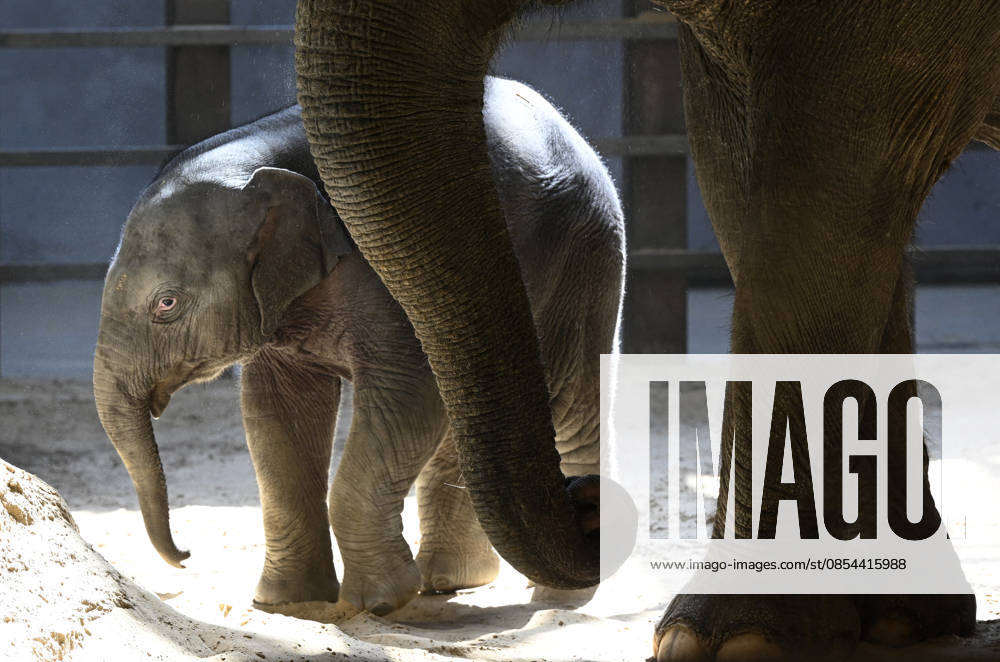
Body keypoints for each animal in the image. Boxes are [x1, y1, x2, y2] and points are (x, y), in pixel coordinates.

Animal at [92, 78, 625, 615]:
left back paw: (562, 593)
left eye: (166, 303)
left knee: (573, 401)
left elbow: (409, 393)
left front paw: (379, 603)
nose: (185, 556)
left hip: (585, 254)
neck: (262, 162)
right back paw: (451, 581)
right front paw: (286, 602)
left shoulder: (393, 277)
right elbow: (278, 411)